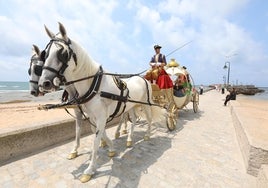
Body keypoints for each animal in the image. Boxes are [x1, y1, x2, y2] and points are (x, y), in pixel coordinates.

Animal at [37, 22, 163, 182]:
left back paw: (147, 135)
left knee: (149, 118)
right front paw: (111, 147)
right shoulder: (91, 115)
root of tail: (143, 78)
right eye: (45, 54)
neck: (94, 85)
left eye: (62, 53)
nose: (44, 83)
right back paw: (129, 139)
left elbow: (95, 140)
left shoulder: (101, 117)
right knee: (134, 120)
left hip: (145, 104)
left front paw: (90, 169)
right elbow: (95, 132)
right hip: (130, 106)